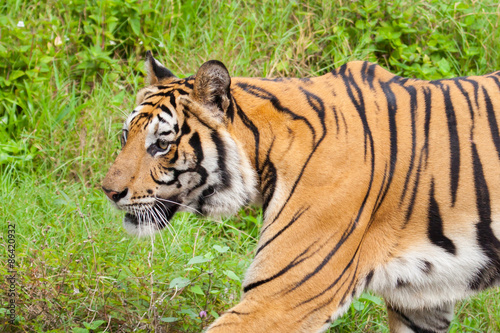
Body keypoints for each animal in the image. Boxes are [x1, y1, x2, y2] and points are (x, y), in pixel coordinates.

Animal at [101, 50, 500, 330]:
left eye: (161, 145)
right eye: (125, 136)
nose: (108, 192)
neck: (265, 153)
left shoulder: (284, 295)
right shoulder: (420, 299)